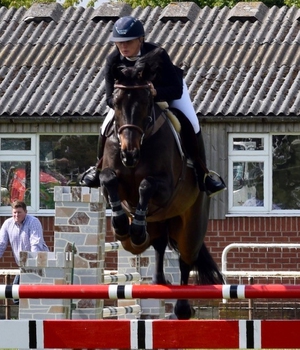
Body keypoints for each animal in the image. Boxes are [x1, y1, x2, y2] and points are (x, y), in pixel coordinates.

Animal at [99, 48, 224, 320]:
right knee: (157, 244)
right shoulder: (113, 180)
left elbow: (146, 185)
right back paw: (155, 275)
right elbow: (109, 180)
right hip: (157, 225)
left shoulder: (166, 187)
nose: (129, 155)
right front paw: (122, 224)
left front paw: (133, 226)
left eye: (146, 102)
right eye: (115, 104)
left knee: (186, 259)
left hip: (191, 225)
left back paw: (182, 307)